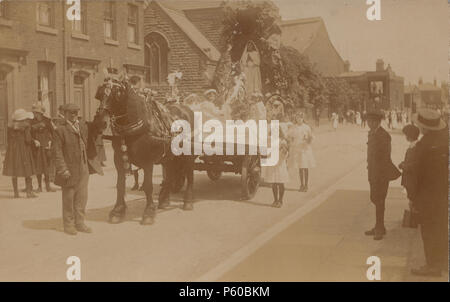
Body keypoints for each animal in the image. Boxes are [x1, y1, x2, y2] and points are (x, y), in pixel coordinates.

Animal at [96, 76, 195, 225]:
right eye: (100, 94)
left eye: (117, 94)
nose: (101, 122)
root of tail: (186, 108)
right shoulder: (118, 159)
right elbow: (120, 185)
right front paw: (118, 211)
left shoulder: (148, 161)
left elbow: (148, 186)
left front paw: (148, 212)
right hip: (169, 153)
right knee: (170, 172)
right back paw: (164, 199)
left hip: (188, 152)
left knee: (189, 172)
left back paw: (188, 200)